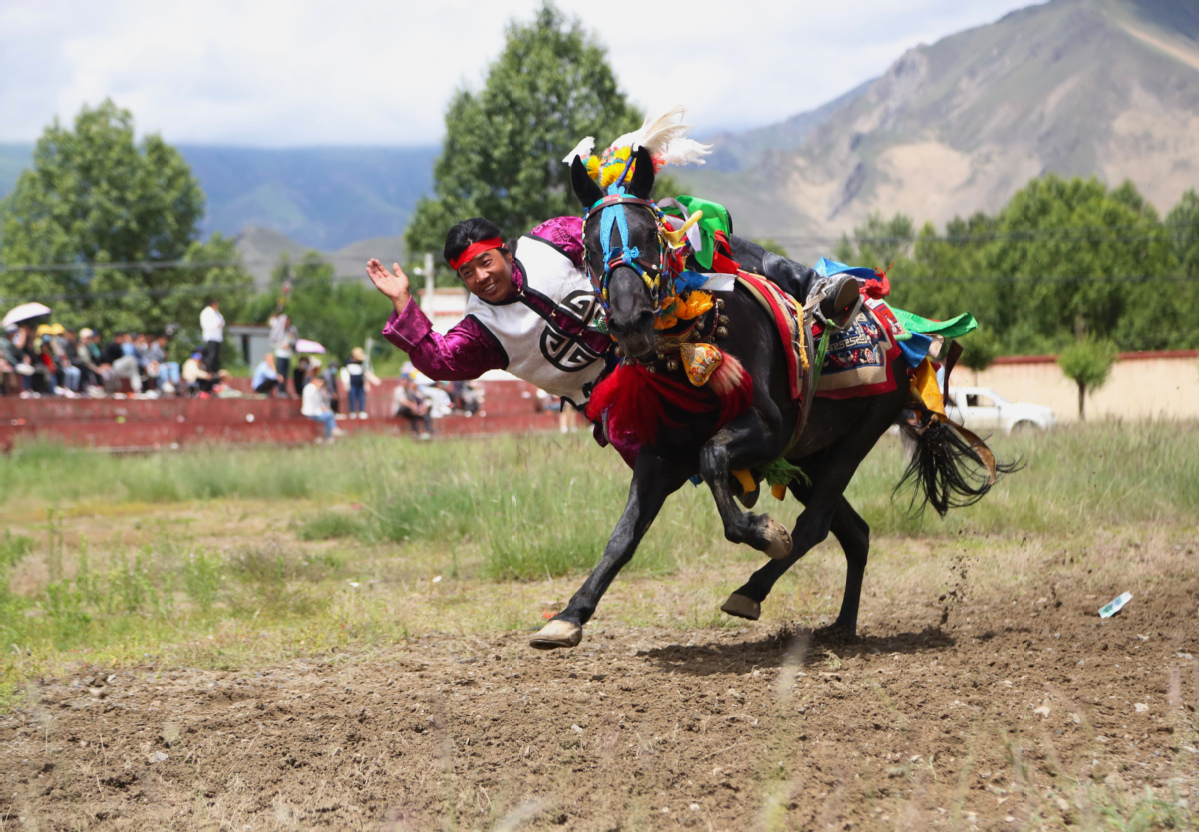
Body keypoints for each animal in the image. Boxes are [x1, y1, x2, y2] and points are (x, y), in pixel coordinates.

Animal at [529, 146, 1007, 647]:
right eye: (589, 248)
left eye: (648, 235)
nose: (629, 321)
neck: (693, 340)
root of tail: (905, 341)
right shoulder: (660, 455)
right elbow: (624, 535)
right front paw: (570, 613)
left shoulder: (767, 430)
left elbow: (713, 458)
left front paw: (762, 531)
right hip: (811, 456)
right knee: (854, 532)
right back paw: (842, 624)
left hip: (857, 436)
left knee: (815, 525)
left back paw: (752, 590)